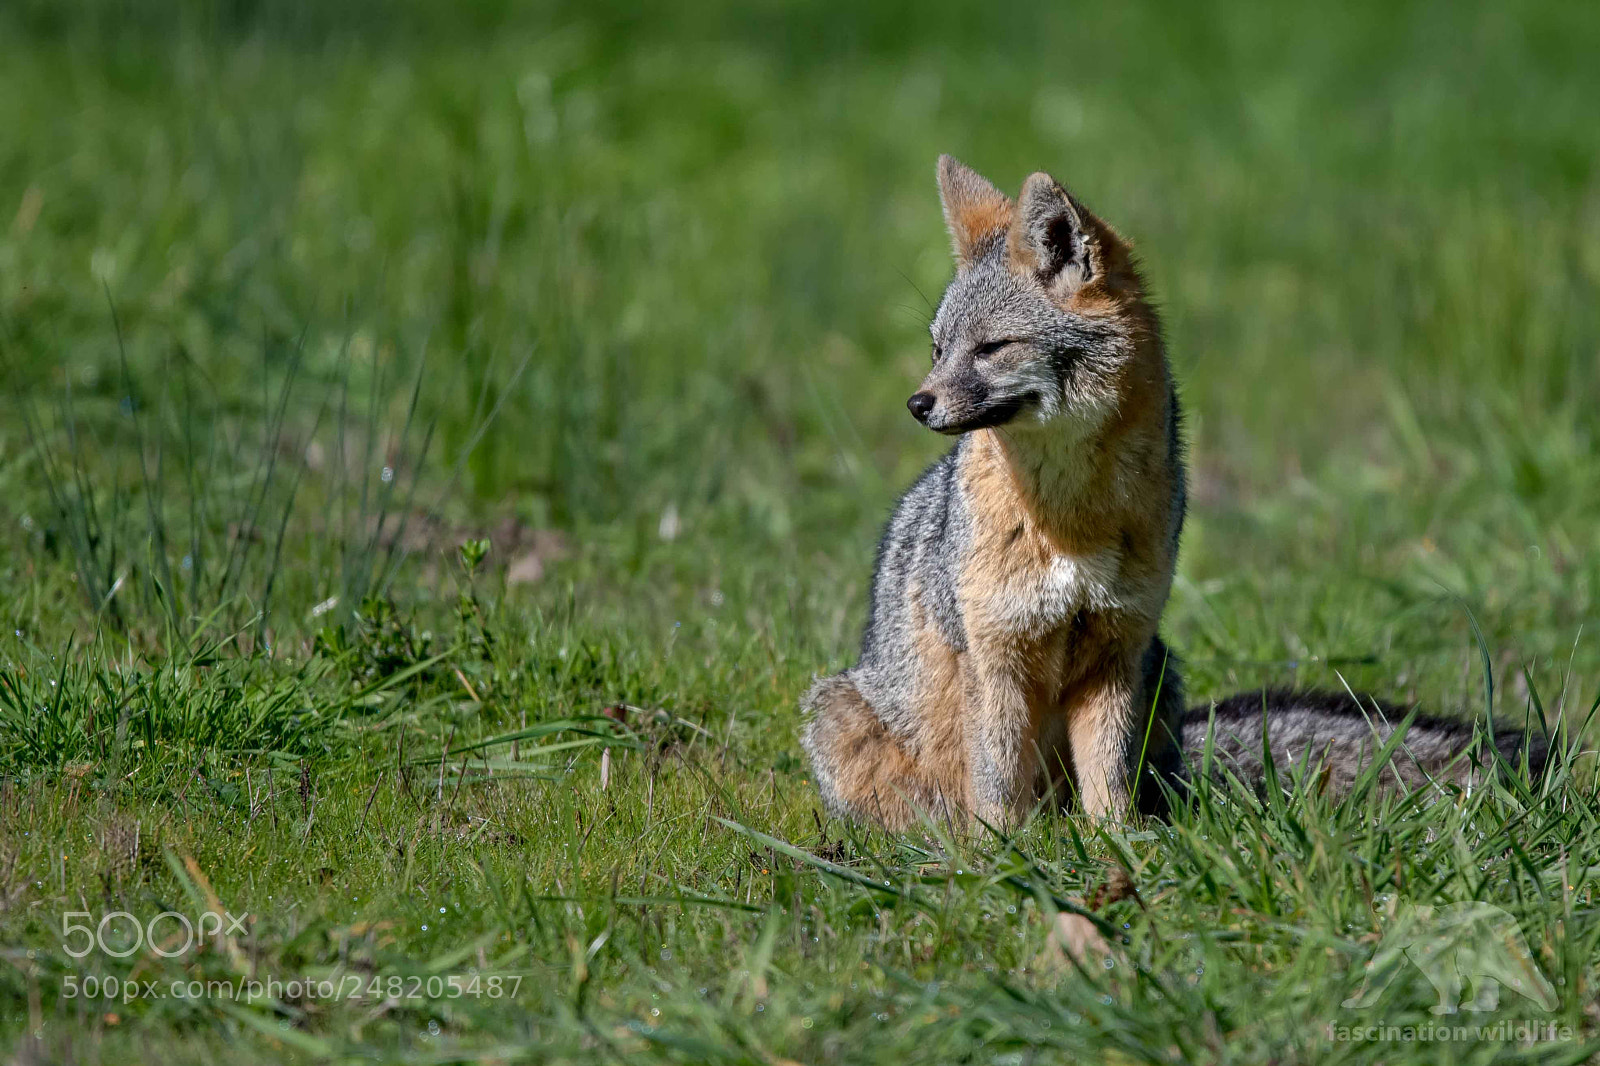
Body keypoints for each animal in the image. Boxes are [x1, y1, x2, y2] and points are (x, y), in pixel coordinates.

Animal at [800, 155, 1548, 831]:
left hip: (1159, 673)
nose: (917, 404)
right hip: (839, 714)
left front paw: (1119, 853)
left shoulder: (1117, 650)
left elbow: (1108, 786)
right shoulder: (997, 657)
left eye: (991, 348)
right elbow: (995, 787)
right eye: (936, 349)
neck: (1070, 520)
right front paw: (1003, 862)